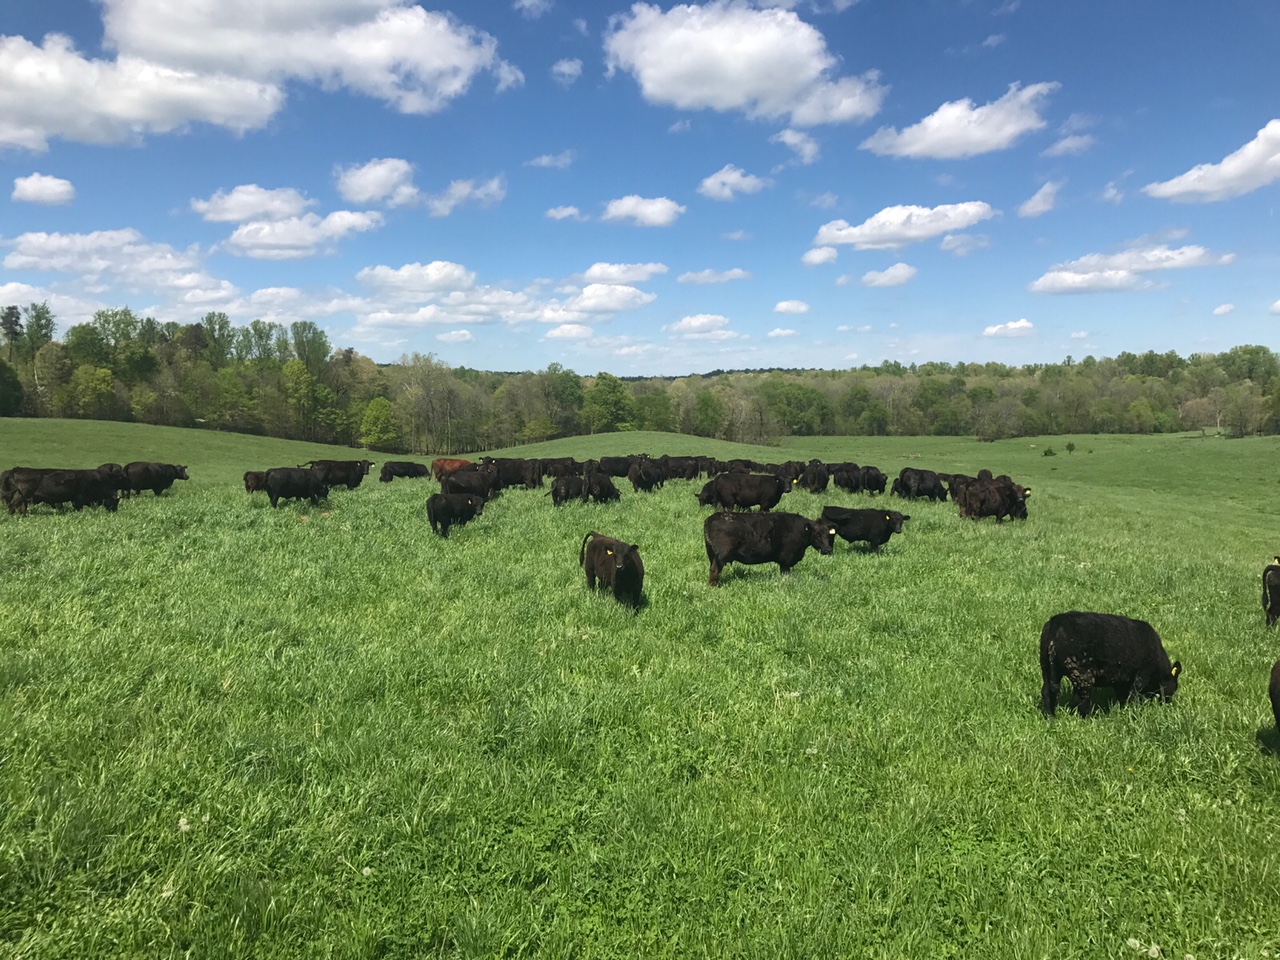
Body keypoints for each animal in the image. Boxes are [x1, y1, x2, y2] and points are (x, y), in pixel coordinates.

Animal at [703, 510, 835, 586]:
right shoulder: (786, 560)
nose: (828, 549)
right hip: (721, 555)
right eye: (817, 534)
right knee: (715, 570)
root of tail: (713, 517)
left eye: (828, 534)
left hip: (712, 555)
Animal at [1039, 611, 1181, 718]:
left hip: (1046, 667)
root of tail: (1056, 622)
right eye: (1174, 687)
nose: (1167, 703)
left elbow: (1122, 695)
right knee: (1081, 699)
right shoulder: (1142, 673)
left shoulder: (1122, 679)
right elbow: (1133, 694)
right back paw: (1089, 718)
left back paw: (1050, 716)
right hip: (1082, 673)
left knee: (1047, 691)